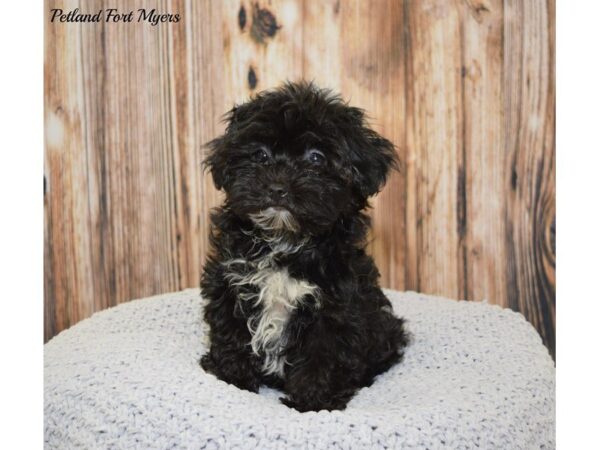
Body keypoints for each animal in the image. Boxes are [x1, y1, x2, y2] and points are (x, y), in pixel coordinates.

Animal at [200, 81, 408, 412]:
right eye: (260, 155)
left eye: (316, 158)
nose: (277, 188)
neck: (285, 240)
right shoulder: (229, 284)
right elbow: (231, 331)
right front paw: (231, 378)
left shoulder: (336, 308)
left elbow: (322, 356)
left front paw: (312, 402)